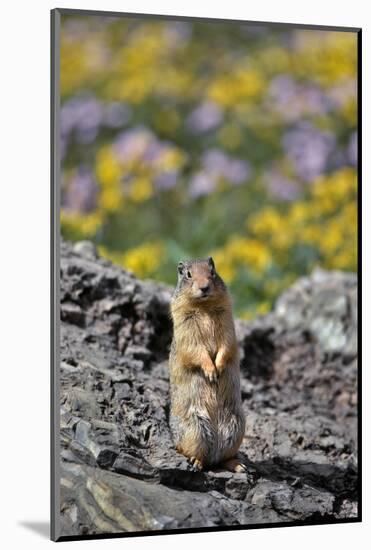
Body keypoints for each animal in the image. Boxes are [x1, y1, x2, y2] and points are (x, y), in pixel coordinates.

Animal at [169, 256, 247, 472]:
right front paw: (212, 372)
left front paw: (218, 367)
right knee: (192, 451)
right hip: (195, 428)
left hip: (237, 426)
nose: (204, 287)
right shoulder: (185, 325)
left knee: (223, 458)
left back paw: (239, 465)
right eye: (188, 274)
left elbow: (226, 344)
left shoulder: (227, 321)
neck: (204, 307)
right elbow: (196, 349)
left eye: (212, 272)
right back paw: (197, 462)